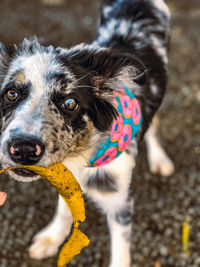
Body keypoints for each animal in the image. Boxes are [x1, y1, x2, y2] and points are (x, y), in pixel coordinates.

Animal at [0, 0, 173, 266]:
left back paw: (160, 159)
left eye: (70, 103)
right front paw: (51, 238)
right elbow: (63, 210)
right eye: (11, 93)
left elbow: (120, 253)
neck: (81, 155)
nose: (23, 148)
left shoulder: (119, 201)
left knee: (154, 123)